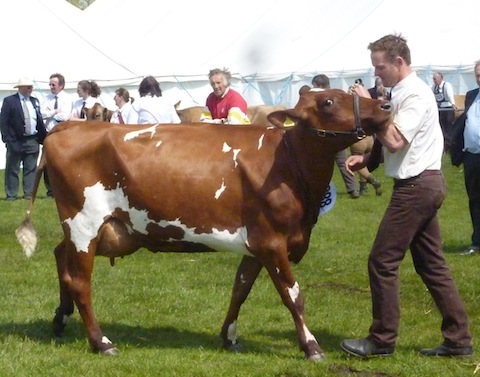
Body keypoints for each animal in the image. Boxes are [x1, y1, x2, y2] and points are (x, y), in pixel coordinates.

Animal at [16, 88, 390, 358]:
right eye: (328, 101)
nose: (385, 105)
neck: (288, 161)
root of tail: (68, 125)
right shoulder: (273, 242)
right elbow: (293, 295)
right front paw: (311, 346)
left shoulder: (256, 244)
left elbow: (240, 289)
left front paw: (229, 336)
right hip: (84, 224)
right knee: (79, 280)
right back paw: (101, 342)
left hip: (84, 228)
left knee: (60, 257)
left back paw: (61, 318)